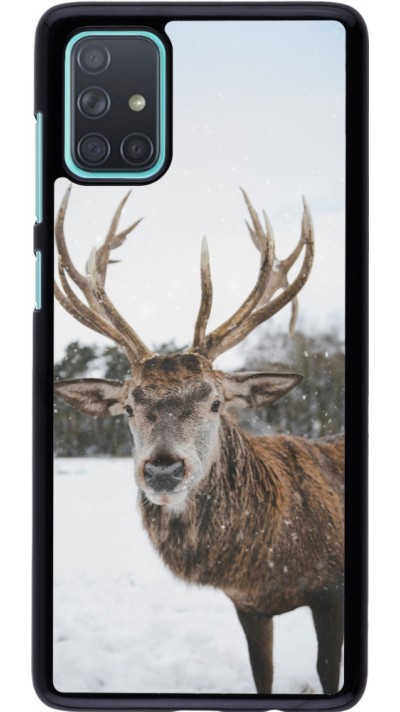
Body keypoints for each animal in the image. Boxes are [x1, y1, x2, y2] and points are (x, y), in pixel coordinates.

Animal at [54, 186, 344, 695]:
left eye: (215, 402)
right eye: (128, 407)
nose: (163, 469)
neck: (268, 564)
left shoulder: (332, 590)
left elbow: (328, 672)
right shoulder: (247, 605)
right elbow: (262, 675)